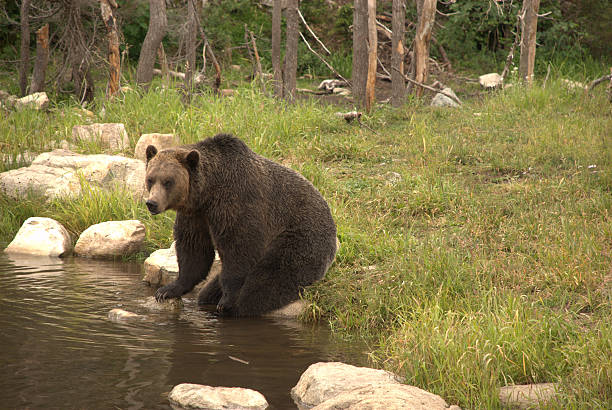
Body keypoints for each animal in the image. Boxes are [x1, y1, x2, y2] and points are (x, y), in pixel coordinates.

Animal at [144, 135, 338, 318]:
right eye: (150, 179)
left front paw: (227, 300)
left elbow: (239, 249)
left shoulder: (237, 204)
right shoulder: (196, 215)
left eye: (168, 181)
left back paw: (237, 305)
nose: (152, 203)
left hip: (299, 239)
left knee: (268, 280)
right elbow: (194, 250)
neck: (208, 192)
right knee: (208, 292)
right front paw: (166, 290)